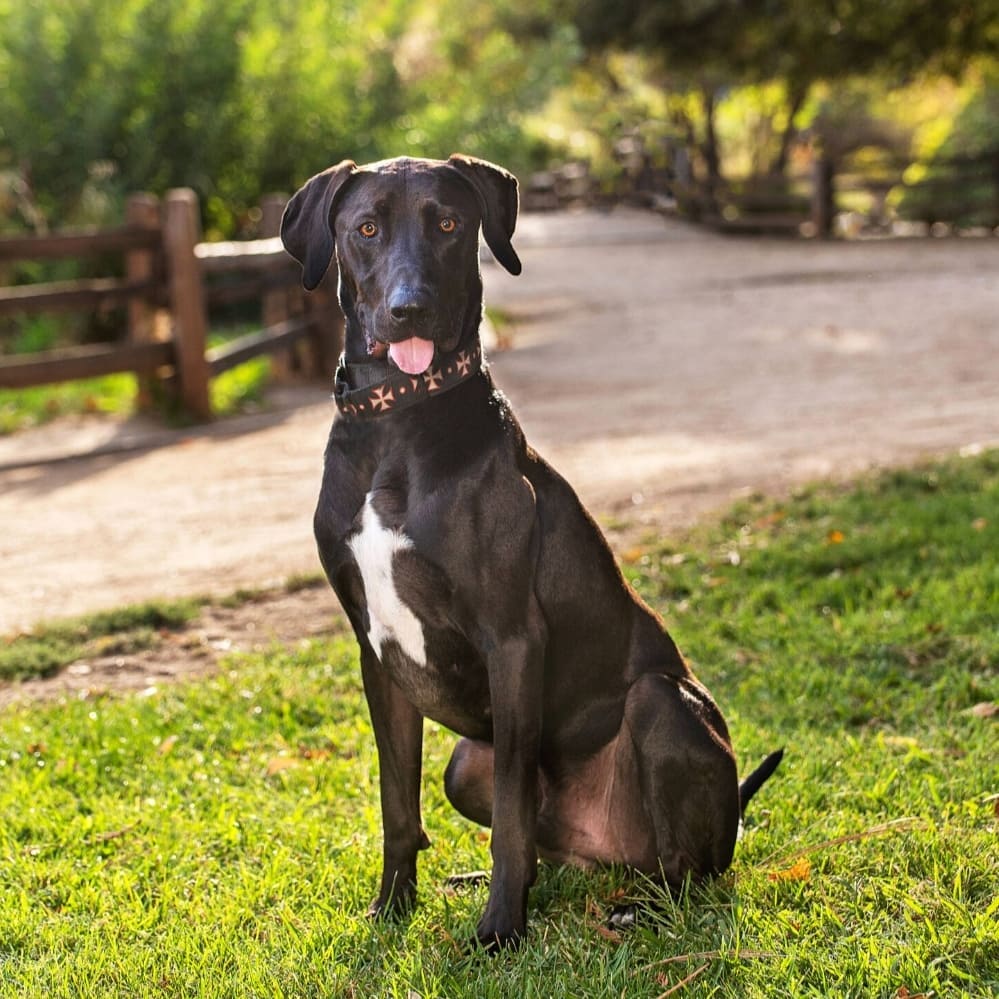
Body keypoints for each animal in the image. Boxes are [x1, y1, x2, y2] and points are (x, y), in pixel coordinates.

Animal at [282, 152, 780, 948]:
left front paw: (499, 929)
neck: (397, 420)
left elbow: (512, 815)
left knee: (690, 869)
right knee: (555, 846)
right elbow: (398, 805)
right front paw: (393, 910)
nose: (411, 308)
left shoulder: (512, 639)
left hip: (662, 707)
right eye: (365, 229)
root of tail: (616, 853)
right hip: (466, 763)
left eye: (448, 225)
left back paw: (637, 907)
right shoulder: (376, 654)